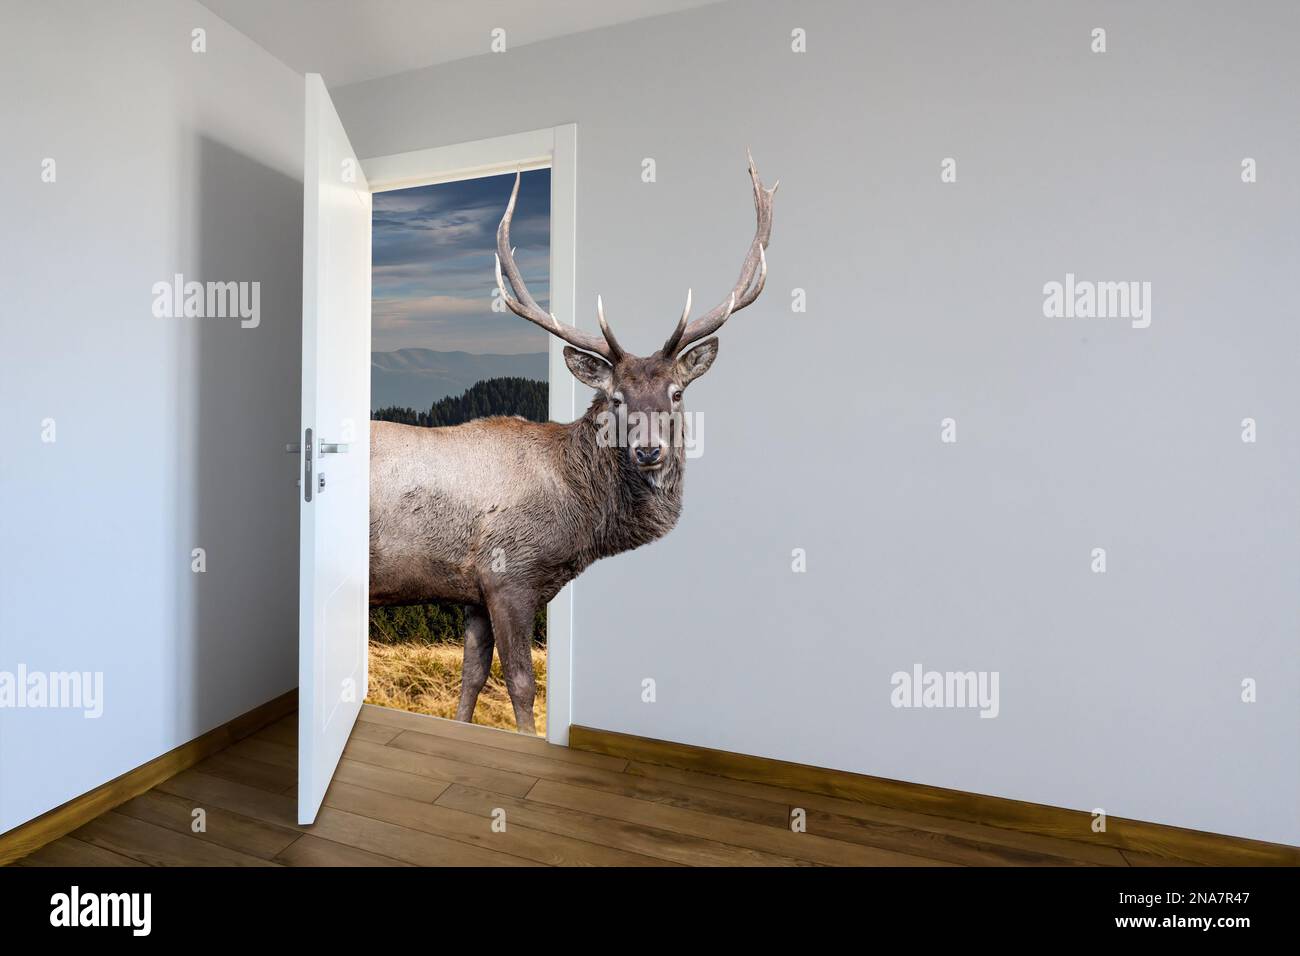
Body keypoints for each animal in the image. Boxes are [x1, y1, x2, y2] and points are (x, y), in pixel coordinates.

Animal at [369, 153, 777, 734]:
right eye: (616, 397)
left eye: (676, 393)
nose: (648, 451)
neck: (577, 522)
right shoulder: (508, 575)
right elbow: (521, 683)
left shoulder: (471, 591)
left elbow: (471, 678)